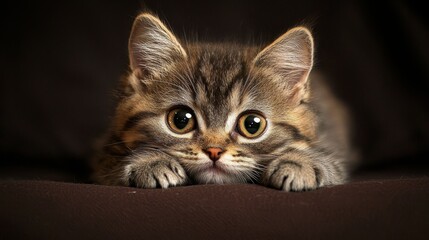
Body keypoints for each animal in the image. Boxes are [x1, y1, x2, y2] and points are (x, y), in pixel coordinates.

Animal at [91, 13, 352, 191]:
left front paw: (299, 164)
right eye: (181, 120)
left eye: (252, 125)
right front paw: (150, 162)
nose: (214, 151)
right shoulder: (102, 150)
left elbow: (330, 162)